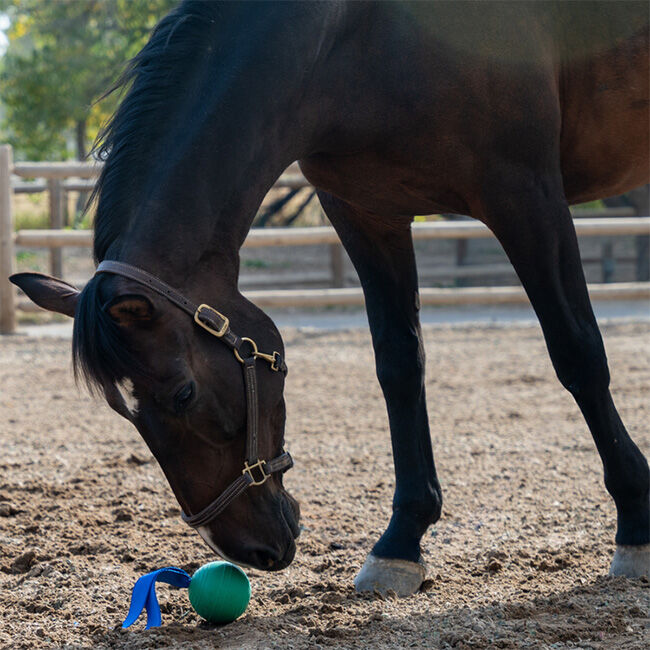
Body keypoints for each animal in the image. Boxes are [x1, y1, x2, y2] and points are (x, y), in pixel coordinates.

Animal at [11, 0, 649, 594]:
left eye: (184, 395)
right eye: (123, 410)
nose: (247, 550)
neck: (364, 36)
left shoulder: (526, 195)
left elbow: (578, 353)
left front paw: (636, 526)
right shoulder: (365, 211)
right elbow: (399, 365)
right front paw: (401, 542)